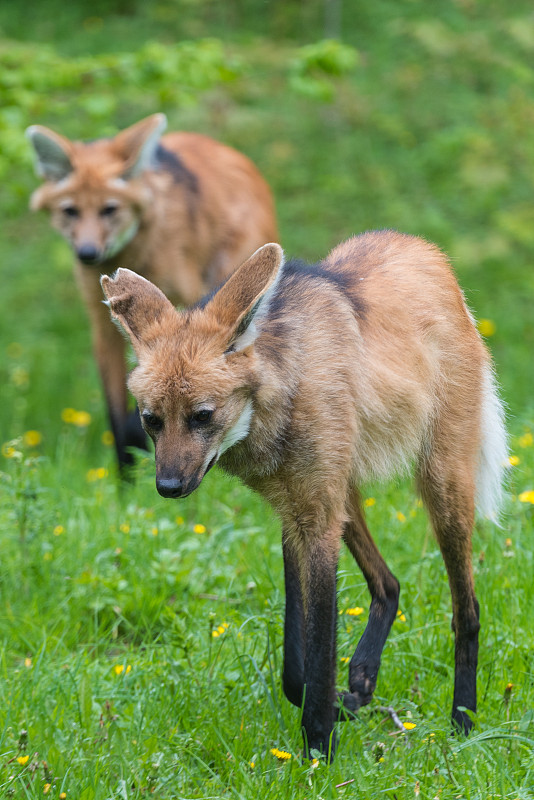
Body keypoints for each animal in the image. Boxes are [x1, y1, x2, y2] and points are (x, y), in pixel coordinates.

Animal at [25, 115, 278, 472]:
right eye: (70, 211)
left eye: (109, 209)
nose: (87, 253)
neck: (133, 255)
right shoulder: (105, 325)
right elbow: (118, 416)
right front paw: (125, 480)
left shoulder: (187, 304)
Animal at [101, 230, 510, 756]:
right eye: (152, 420)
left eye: (201, 416)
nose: (168, 487)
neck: (280, 402)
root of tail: (423, 248)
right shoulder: (294, 513)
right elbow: (296, 665)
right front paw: (337, 707)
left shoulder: (316, 518)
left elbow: (318, 647)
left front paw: (319, 749)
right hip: (346, 495)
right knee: (389, 583)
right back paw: (362, 681)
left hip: (442, 487)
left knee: (467, 610)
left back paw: (463, 721)